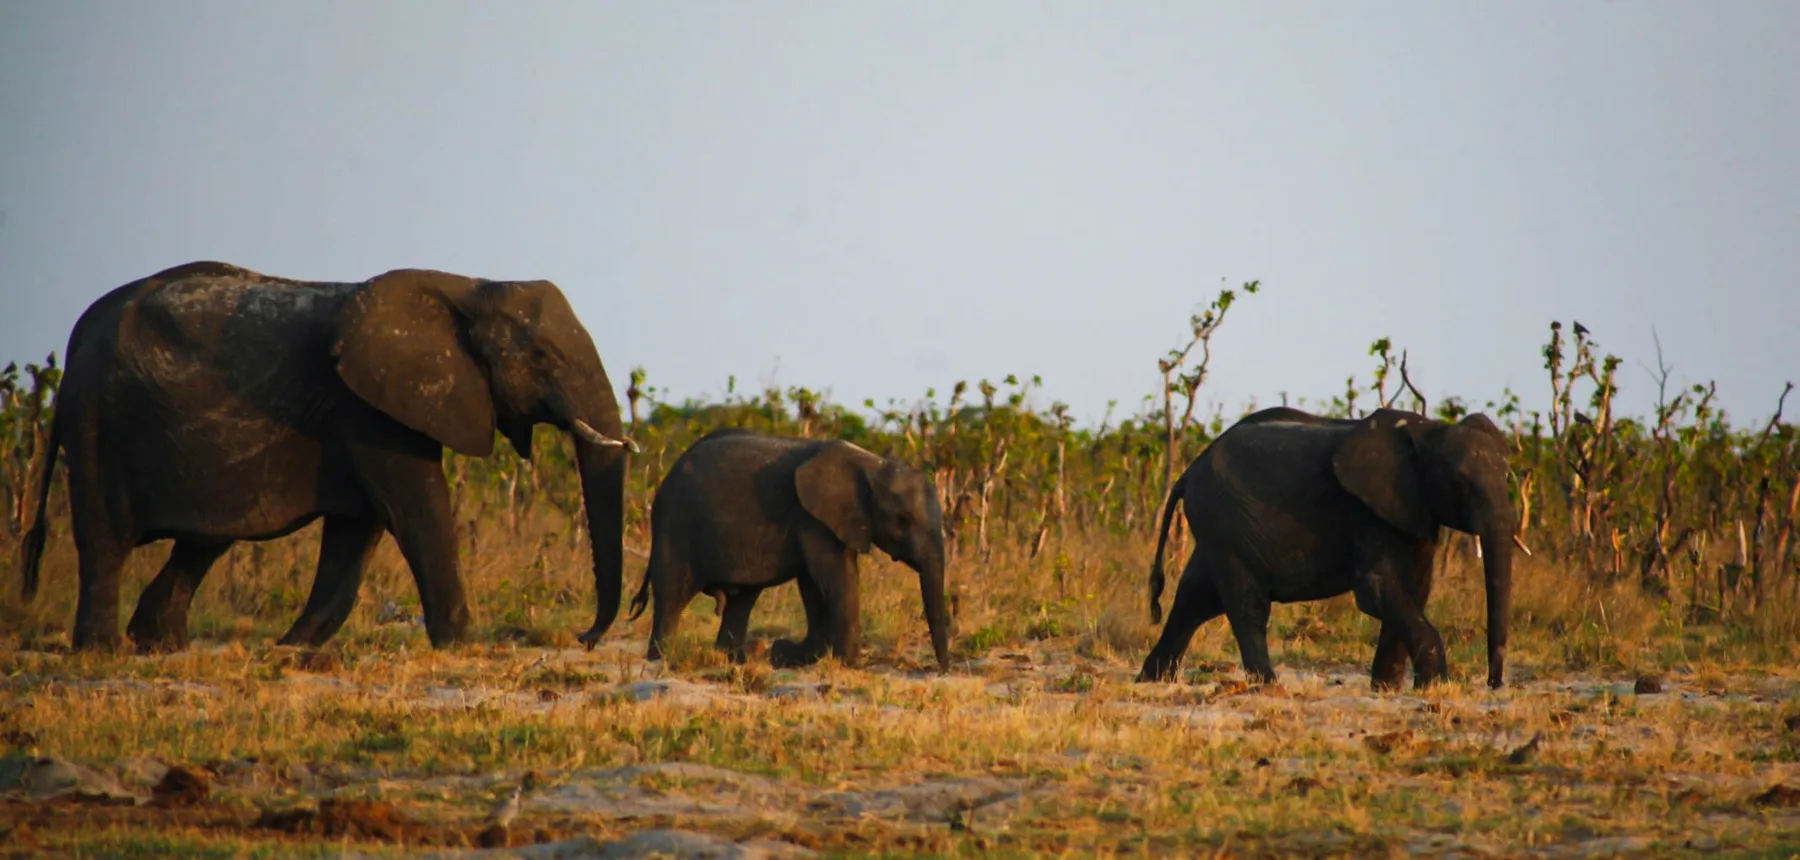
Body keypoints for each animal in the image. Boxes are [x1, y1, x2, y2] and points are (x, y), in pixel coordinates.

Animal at [16, 260, 638, 652]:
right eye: (542, 356)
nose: (584, 638)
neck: (468, 286)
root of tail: (75, 337)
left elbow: (357, 531)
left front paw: (292, 649)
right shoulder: (367, 407)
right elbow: (416, 510)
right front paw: (462, 646)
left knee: (203, 540)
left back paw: (160, 644)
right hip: (96, 420)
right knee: (105, 539)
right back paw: (101, 651)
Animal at [624, 429, 951, 671]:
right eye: (902, 520)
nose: (942, 670)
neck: (871, 464)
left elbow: (815, 583)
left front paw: (798, 655)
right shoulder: (811, 518)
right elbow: (837, 577)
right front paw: (846, 663)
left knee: (742, 599)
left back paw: (731, 660)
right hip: (675, 525)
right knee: (672, 595)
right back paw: (661, 660)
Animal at [1137, 406, 1524, 690]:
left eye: (1508, 477)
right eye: (1458, 483)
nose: (1494, 684)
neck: (1428, 431)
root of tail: (1188, 471)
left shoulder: (1414, 508)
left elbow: (1414, 590)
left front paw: (1387, 690)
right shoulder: (1367, 510)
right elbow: (1377, 590)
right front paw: (1436, 686)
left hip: (1217, 527)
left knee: (1196, 597)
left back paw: (1153, 680)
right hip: (1223, 518)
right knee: (1245, 604)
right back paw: (1268, 686)